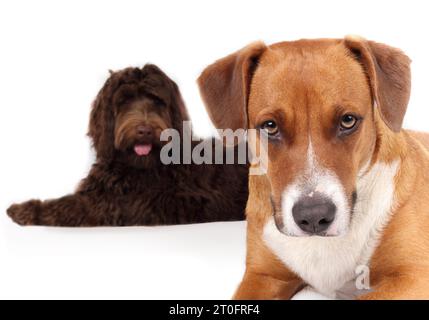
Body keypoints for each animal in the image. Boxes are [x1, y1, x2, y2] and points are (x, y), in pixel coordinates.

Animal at [5, 63, 247, 226]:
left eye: (157, 101)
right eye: (125, 100)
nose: (144, 130)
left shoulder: (122, 204)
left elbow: (71, 206)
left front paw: (27, 210)